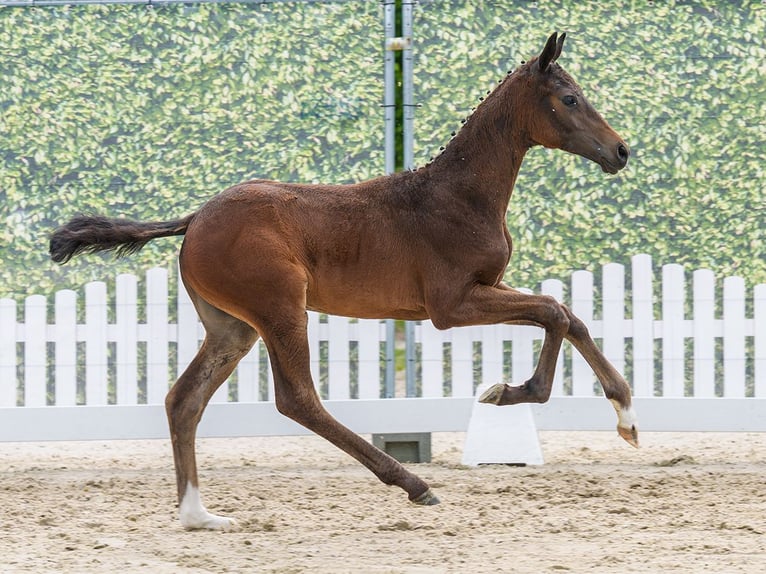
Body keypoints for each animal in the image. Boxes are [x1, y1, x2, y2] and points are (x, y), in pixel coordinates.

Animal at [49, 32, 637, 531]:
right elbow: (553, 311)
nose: (621, 151)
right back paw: (414, 484)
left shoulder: (484, 290)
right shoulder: (451, 305)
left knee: (184, 400)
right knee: (297, 399)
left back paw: (199, 515)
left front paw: (626, 415)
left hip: (232, 329)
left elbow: (569, 316)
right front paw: (511, 392)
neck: (457, 195)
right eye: (569, 99)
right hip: (280, 310)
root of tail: (194, 219)